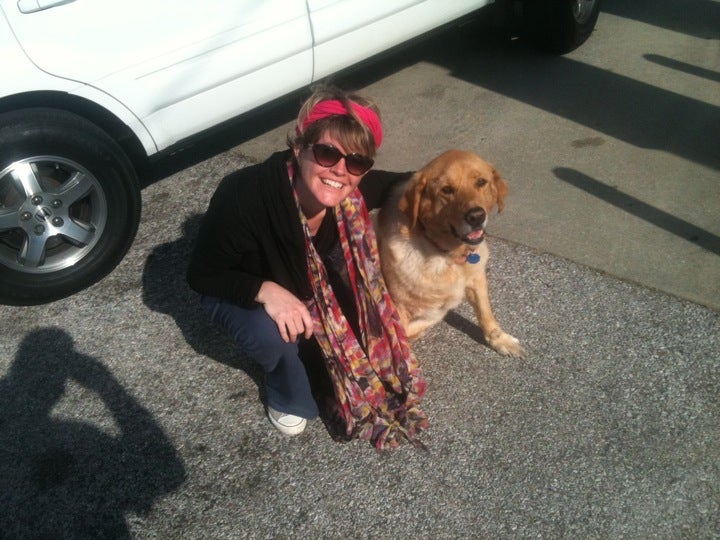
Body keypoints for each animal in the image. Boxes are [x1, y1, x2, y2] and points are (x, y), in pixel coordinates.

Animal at [376, 150, 526, 358]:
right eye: (446, 190)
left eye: (481, 182)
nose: (476, 216)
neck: (447, 255)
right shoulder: (398, 311)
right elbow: (401, 350)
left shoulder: (476, 279)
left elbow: (485, 312)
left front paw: (499, 339)